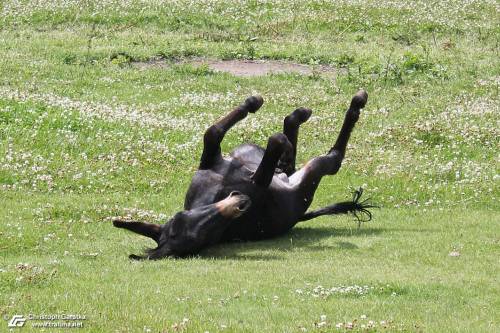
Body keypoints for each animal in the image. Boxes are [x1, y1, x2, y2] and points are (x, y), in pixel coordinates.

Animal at [113, 89, 376, 258]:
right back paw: (355, 103)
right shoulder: (260, 182)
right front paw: (282, 147)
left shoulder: (212, 158)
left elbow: (212, 131)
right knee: (334, 158)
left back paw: (297, 120)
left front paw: (253, 103)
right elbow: (274, 141)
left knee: (289, 144)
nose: (241, 202)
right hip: (312, 173)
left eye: (181, 218)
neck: (219, 191)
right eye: (208, 235)